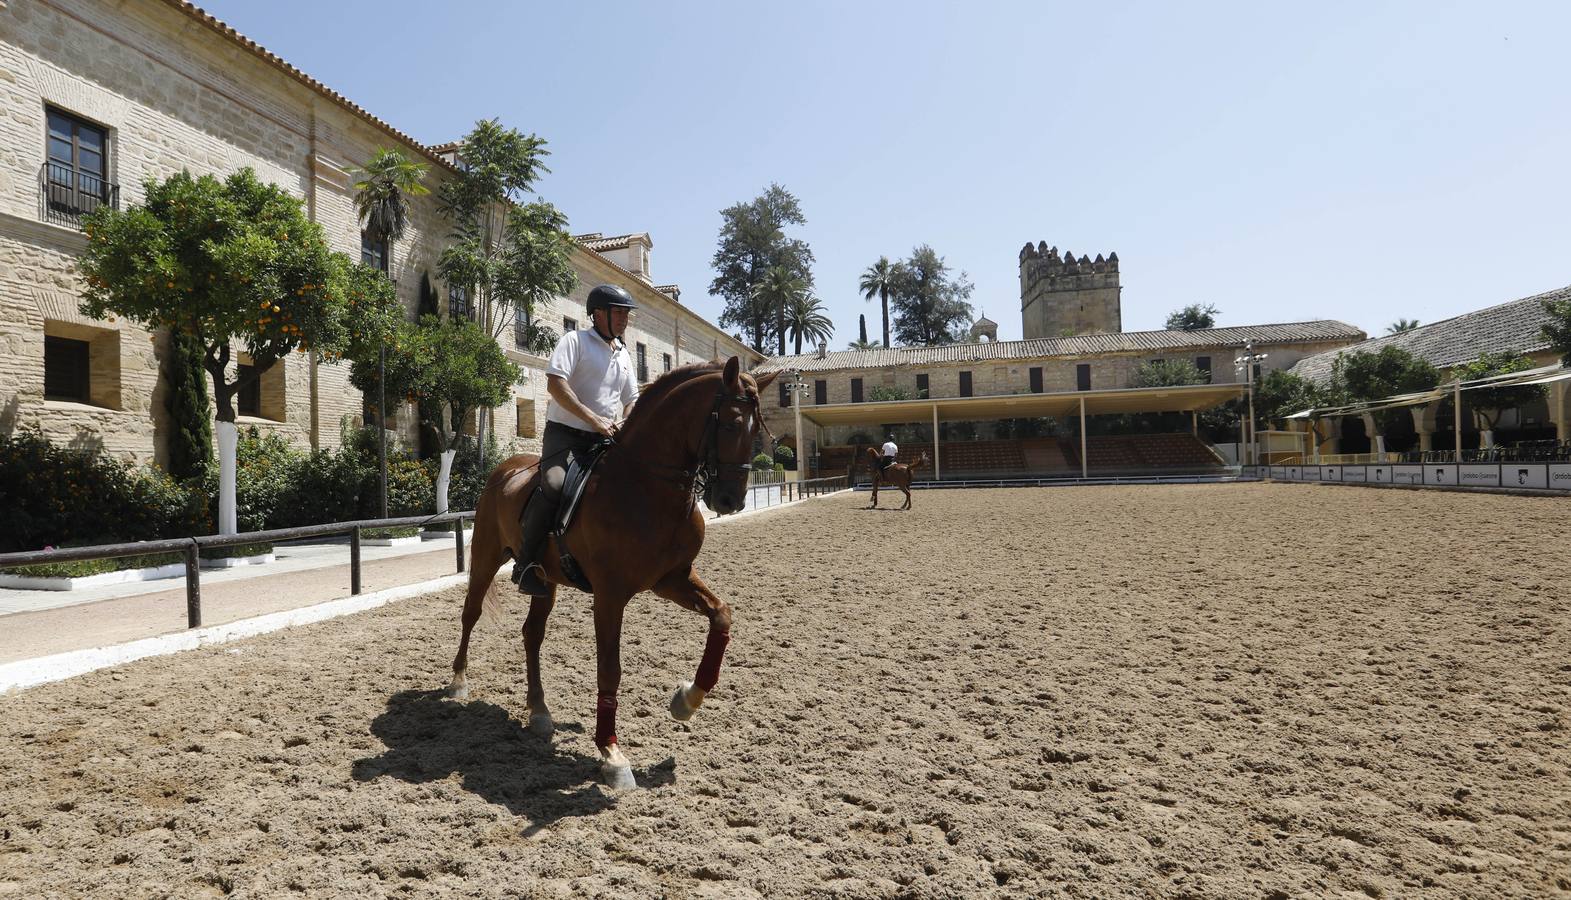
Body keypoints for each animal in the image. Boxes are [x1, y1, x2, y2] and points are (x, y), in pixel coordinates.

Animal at [446, 358, 776, 785]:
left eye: (757, 431)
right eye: (733, 424)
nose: (730, 500)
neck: (646, 485)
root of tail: (505, 469)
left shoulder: (672, 579)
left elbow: (721, 614)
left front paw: (687, 699)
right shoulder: (610, 594)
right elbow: (610, 669)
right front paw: (612, 753)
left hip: (545, 581)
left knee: (532, 634)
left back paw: (539, 710)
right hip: (486, 556)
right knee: (470, 614)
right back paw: (458, 682)